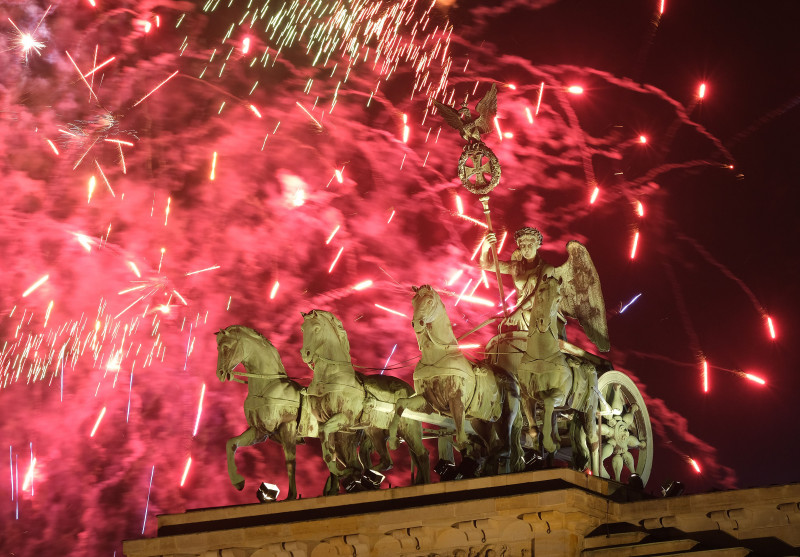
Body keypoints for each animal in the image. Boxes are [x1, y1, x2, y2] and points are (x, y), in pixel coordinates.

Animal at [217, 324, 368, 498]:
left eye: (225, 347)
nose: (220, 373)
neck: (267, 386)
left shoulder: (287, 427)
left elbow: (290, 462)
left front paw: (291, 495)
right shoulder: (259, 432)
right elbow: (231, 444)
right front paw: (238, 481)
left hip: (343, 439)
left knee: (352, 465)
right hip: (341, 440)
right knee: (350, 464)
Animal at [298, 310, 432, 484]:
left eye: (316, 328)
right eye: (302, 329)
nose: (305, 354)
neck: (331, 377)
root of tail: (410, 390)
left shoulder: (344, 418)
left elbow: (326, 432)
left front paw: (340, 469)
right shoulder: (325, 422)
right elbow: (325, 438)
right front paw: (342, 470)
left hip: (409, 430)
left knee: (422, 455)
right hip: (375, 432)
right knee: (387, 462)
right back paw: (370, 474)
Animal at [388, 286, 524, 474]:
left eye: (429, 301)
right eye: (413, 301)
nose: (417, 323)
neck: (437, 356)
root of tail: (513, 378)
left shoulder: (456, 400)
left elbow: (460, 438)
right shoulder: (427, 401)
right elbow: (401, 403)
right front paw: (393, 440)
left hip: (505, 417)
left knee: (505, 448)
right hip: (481, 422)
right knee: (495, 446)